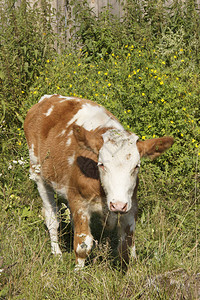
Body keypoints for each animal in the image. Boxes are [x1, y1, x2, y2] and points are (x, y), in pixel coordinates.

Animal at [23, 94, 173, 270]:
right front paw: (78, 271)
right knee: (51, 218)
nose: (117, 205)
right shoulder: (78, 201)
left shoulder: (131, 204)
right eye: (101, 164)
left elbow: (127, 243)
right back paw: (57, 254)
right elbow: (83, 243)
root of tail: (48, 98)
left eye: (136, 166)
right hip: (38, 174)